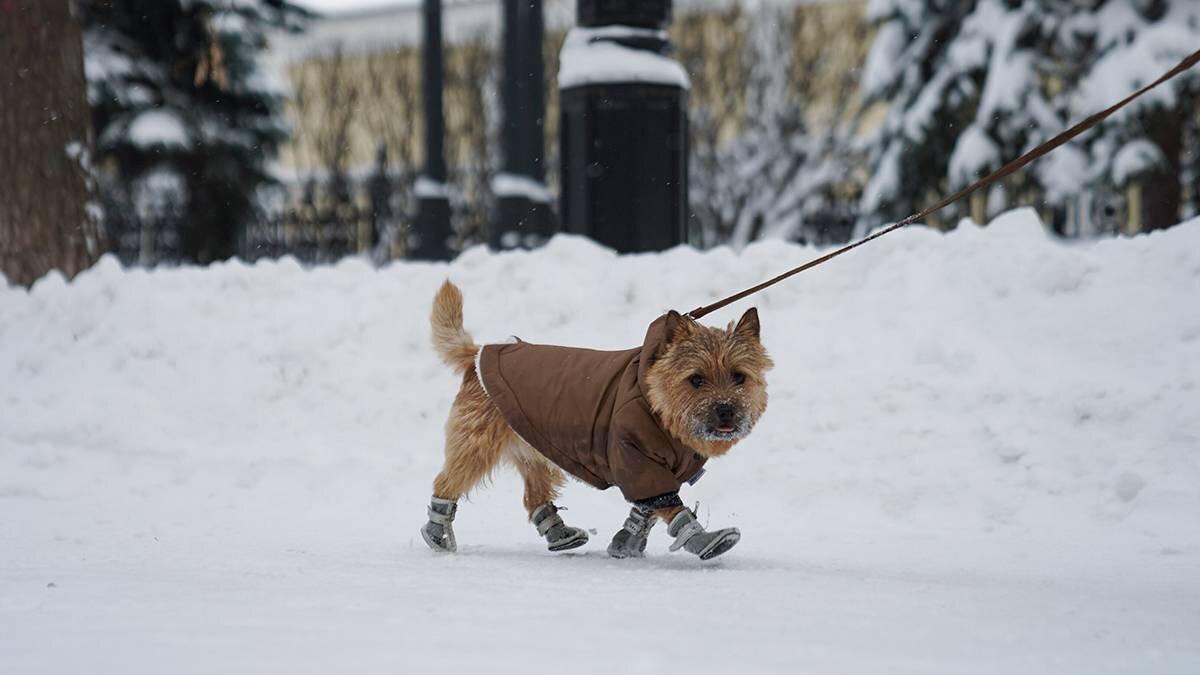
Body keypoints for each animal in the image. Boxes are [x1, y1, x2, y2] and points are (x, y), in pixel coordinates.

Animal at [422, 278, 772, 557]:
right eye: (696, 379)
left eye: (738, 377)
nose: (725, 409)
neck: (657, 403)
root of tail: (478, 353)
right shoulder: (636, 459)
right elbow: (668, 504)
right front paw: (702, 539)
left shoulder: (660, 469)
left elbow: (646, 509)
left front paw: (625, 544)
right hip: (476, 443)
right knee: (447, 482)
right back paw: (438, 533)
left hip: (533, 447)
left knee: (534, 497)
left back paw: (560, 534)